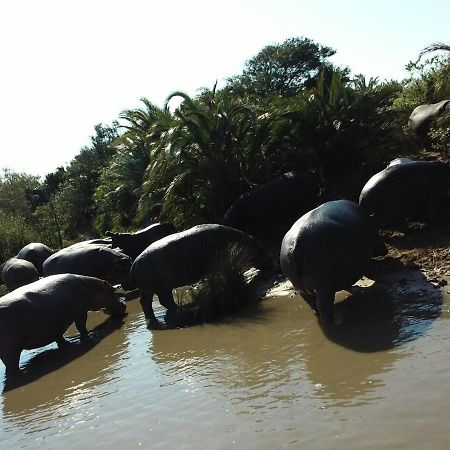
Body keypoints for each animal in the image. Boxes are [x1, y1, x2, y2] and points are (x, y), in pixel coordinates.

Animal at [128, 222, 272, 324]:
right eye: (262, 249)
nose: (273, 265)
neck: (242, 242)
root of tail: (134, 263)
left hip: (147, 288)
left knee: (145, 302)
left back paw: (152, 320)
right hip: (161, 287)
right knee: (165, 301)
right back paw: (183, 310)